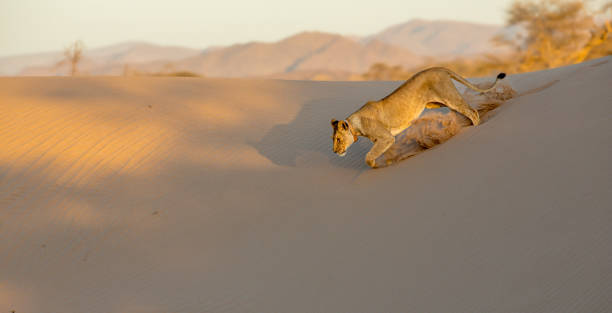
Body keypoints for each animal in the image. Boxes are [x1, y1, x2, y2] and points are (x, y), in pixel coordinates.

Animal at [332, 67, 504, 167]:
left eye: (338, 139)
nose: (334, 152)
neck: (355, 125)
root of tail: (438, 67)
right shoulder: (385, 140)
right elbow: (385, 152)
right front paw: (390, 160)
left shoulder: (386, 137)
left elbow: (368, 156)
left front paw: (376, 165)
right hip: (436, 103)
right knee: (463, 111)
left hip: (449, 97)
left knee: (472, 111)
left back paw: (475, 127)